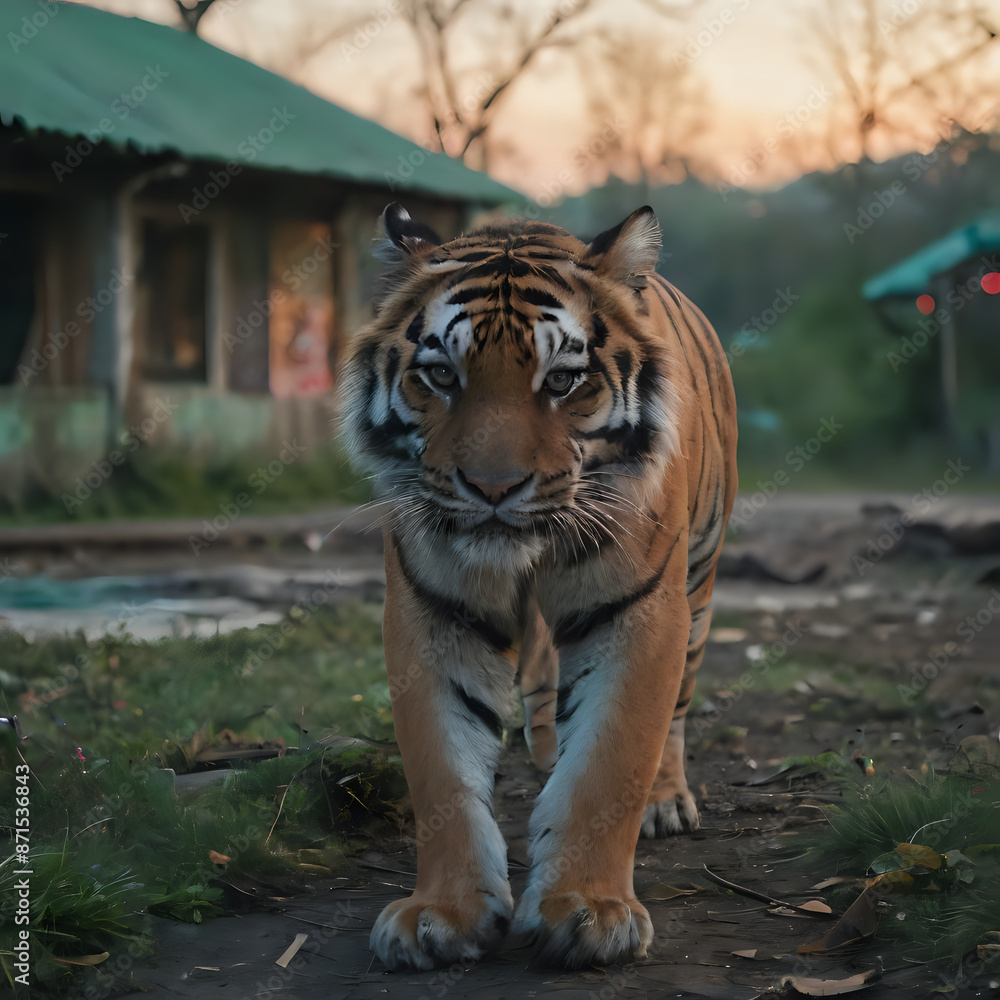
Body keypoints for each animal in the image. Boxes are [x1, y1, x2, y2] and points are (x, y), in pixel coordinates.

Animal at [340, 203, 737, 971]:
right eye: (441, 375)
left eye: (561, 382)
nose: (493, 488)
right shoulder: (432, 612)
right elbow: (441, 767)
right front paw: (442, 914)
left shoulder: (639, 611)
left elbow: (612, 762)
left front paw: (588, 911)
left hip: (700, 584)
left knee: (676, 709)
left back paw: (663, 802)